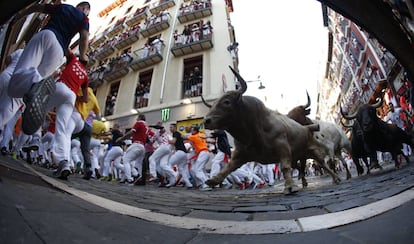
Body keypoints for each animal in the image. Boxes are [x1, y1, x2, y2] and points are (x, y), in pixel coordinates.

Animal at [202, 65, 342, 194]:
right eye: (213, 105)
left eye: (226, 102)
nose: (206, 121)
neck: (253, 131)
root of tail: (306, 129)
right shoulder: (240, 155)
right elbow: (228, 168)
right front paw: (213, 180)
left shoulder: (283, 148)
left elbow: (285, 167)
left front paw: (290, 186)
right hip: (300, 155)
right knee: (303, 167)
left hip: (314, 151)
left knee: (324, 165)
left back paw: (336, 178)